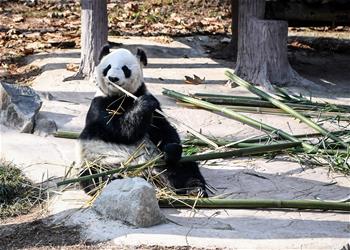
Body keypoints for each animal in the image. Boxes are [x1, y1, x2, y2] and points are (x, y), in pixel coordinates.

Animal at [76, 45, 206, 197]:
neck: (121, 96)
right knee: (92, 175)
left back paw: (194, 189)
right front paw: (144, 104)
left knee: (185, 168)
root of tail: (145, 173)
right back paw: (112, 178)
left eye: (125, 68)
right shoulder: (99, 105)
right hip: (99, 160)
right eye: (108, 67)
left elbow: (163, 129)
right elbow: (117, 130)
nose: (113, 78)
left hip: (158, 161)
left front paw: (171, 149)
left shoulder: (151, 104)